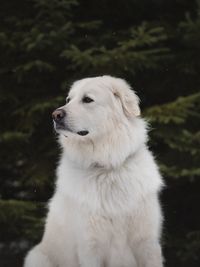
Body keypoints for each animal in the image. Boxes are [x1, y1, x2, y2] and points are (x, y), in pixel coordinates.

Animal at [23, 76, 164, 267]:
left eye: (87, 99)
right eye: (68, 99)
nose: (55, 115)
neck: (106, 167)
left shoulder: (147, 243)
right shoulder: (90, 246)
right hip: (37, 257)